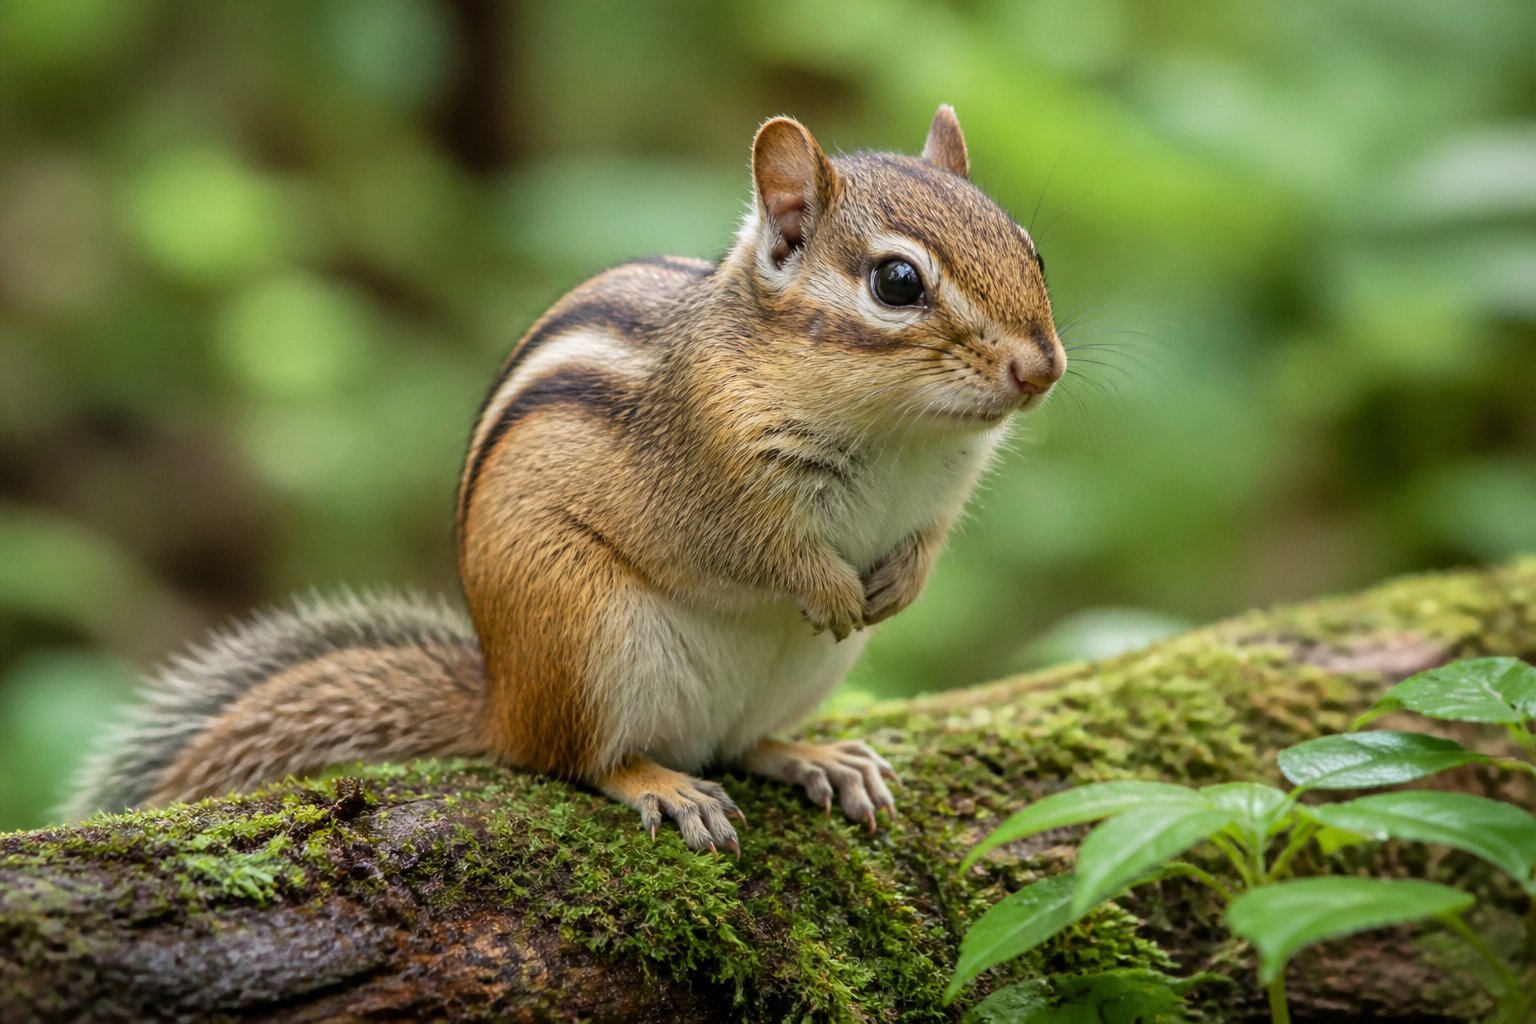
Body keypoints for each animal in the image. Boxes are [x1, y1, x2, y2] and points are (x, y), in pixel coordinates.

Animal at [66, 106, 1065, 854]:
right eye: (897, 282)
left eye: (1033, 249)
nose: (1041, 369)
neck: (902, 435)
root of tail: (501, 702)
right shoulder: (712, 476)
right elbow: (765, 552)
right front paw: (832, 587)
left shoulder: (944, 488)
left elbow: (929, 537)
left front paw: (902, 583)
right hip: (584, 629)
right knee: (578, 761)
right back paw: (661, 783)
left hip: (795, 674)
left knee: (741, 743)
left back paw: (812, 757)